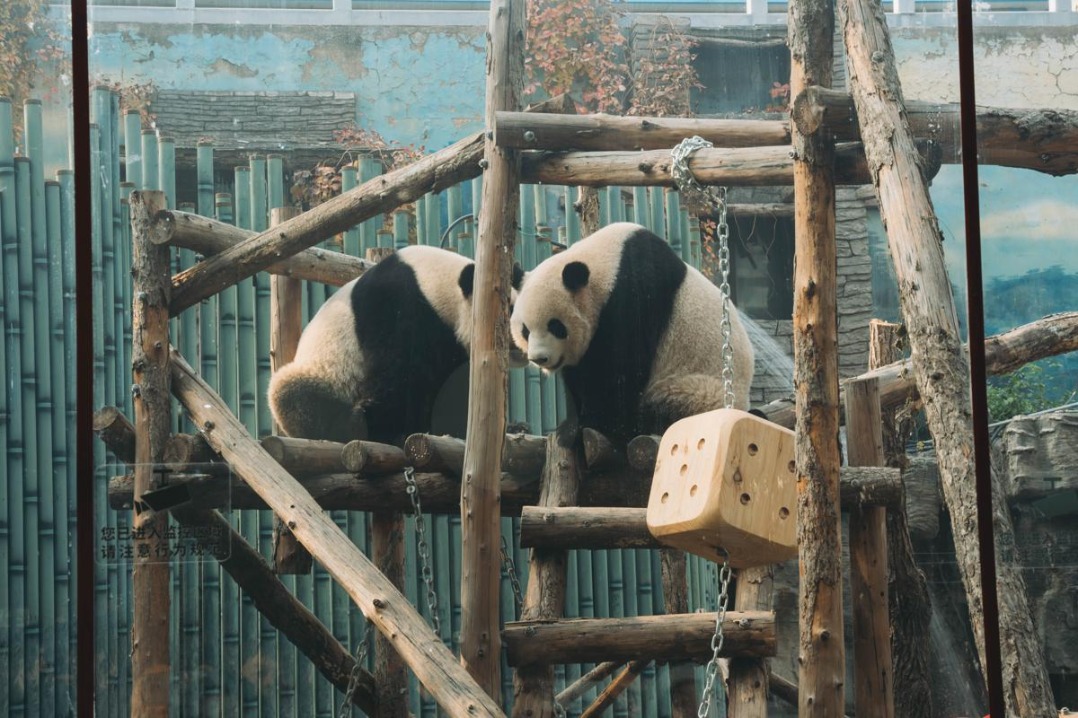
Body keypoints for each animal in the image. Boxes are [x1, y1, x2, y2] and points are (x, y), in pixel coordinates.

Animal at [267, 245, 523, 448]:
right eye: (509, 311)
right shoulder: (394, 303)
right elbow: (400, 373)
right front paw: (390, 430)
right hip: (325, 376)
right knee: (295, 395)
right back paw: (351, 424)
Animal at [508, 221, 754, 442]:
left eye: (556, 326)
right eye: (525, 331)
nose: (539, 358)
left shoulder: (635, 294)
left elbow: (620, 369)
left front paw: (585, 426)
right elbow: (580, 375)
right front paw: (571, 424)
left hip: (697, 388)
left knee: (667, 410)